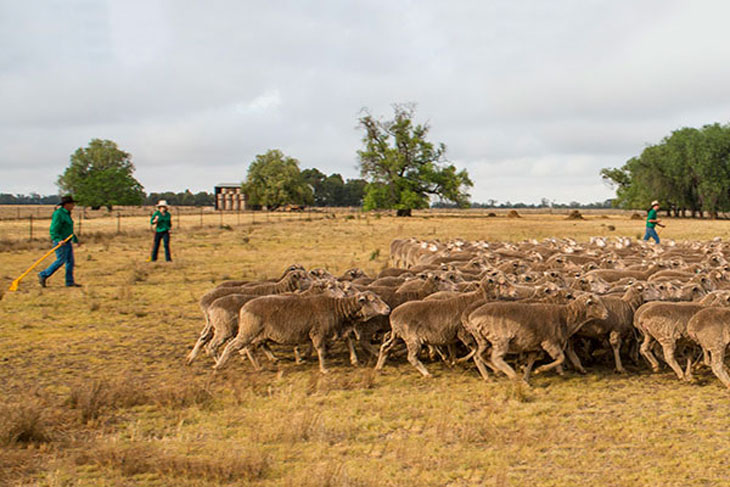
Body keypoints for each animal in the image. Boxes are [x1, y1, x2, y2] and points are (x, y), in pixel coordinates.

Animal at [213, 294, 390, 374]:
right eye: (373, 300)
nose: (388, 309)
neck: (338, 310)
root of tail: (244, 308)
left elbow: (348, 342)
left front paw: (355, 360)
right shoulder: (318, 333)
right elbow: (321, 351)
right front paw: (324, 369)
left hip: (255, 334)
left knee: (249, 349)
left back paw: (259, 366)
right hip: (248, 331)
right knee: (231, 346)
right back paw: (219, 365)